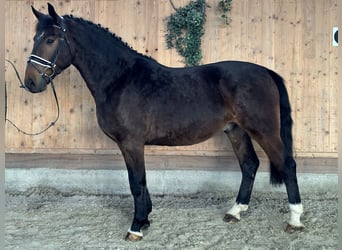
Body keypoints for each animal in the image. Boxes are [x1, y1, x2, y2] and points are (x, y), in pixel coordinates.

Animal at [22, 3, 304, 240]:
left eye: (50, 39)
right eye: (34, 38)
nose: (31, 83)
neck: (120, 78)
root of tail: (266, 72)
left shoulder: (132, 143)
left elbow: (137, 182)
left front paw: (136, 227)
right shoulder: (130, 145)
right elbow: (140, 181)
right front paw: (146, 219)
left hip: (264, 130)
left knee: (287, 164)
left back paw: (295, 220)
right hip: (236, 130)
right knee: (249, 164)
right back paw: (235, 212)